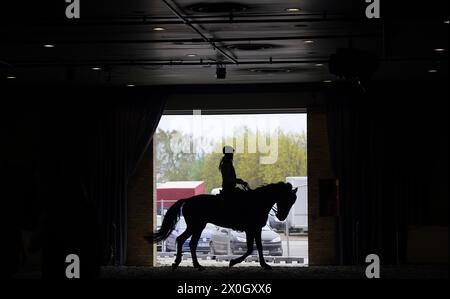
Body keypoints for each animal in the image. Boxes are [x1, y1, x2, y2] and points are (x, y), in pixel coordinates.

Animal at [146, 183, 298, 272]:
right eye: (287, 199)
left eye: (293, 201)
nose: (281, 217)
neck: (257, 202)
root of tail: (188, 200)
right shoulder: (252, 229)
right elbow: (251, 248)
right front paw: (233, 261)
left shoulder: (255, 229)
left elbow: (257, 247)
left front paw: (264, 264)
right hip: (196, 226)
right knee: (185, 241)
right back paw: (184, 264)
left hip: (197, 227)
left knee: (187, 242)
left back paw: (191, 265)